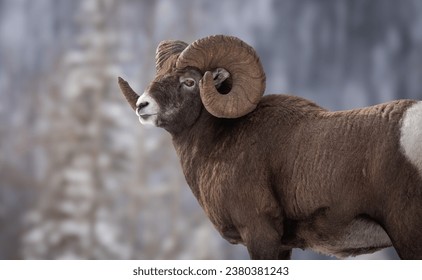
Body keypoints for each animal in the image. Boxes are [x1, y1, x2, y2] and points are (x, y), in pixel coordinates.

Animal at [118, 35, 422, 260]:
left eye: (189, 82)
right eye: (158, 74)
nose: (143, 105)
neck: (219, 142)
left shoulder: (260, 235)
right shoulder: (283, 246)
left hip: (406, 232)